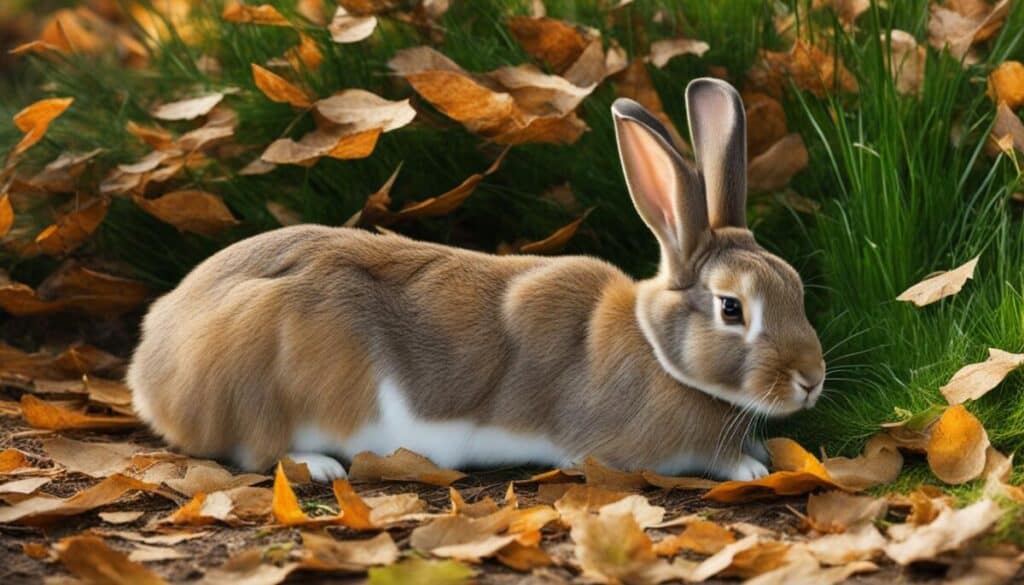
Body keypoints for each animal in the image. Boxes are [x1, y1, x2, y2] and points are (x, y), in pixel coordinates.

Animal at [127, 78, 825, 483]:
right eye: (732, 308)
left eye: (794, 285)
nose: (811, 381)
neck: (657, 350)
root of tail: (151, 373)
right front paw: (750, 467)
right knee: (255, 451)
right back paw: (321, 465)